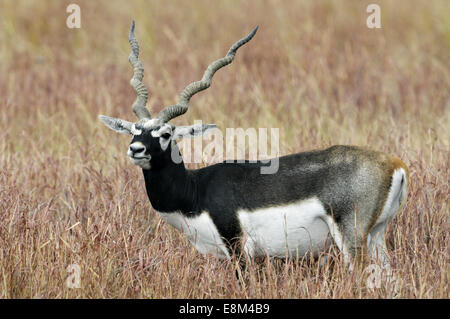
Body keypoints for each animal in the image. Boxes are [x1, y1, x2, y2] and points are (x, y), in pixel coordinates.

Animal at [100, 23, 410, 272]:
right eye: (134, 130)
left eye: (166, 134)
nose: (136, 149)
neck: (195, 192)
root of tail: (395, 165)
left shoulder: (238, 250)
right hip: (377, 238)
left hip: (352, 240)